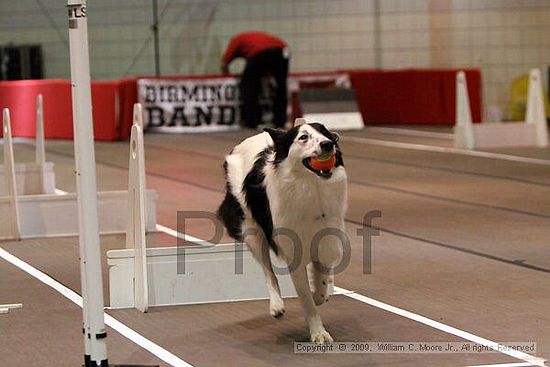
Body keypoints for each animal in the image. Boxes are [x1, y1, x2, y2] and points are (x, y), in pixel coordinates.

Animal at [218, 119, 348, 344]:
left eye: (326, 133)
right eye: (303, 137)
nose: (327, 145)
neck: (311, 186)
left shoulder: (327, 240)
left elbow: (321, 276)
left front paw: (319, 293)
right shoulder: (294, 253)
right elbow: (307, 301)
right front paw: (318, 332)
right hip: (252, 230)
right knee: (268, 271)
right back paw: (276, 306)